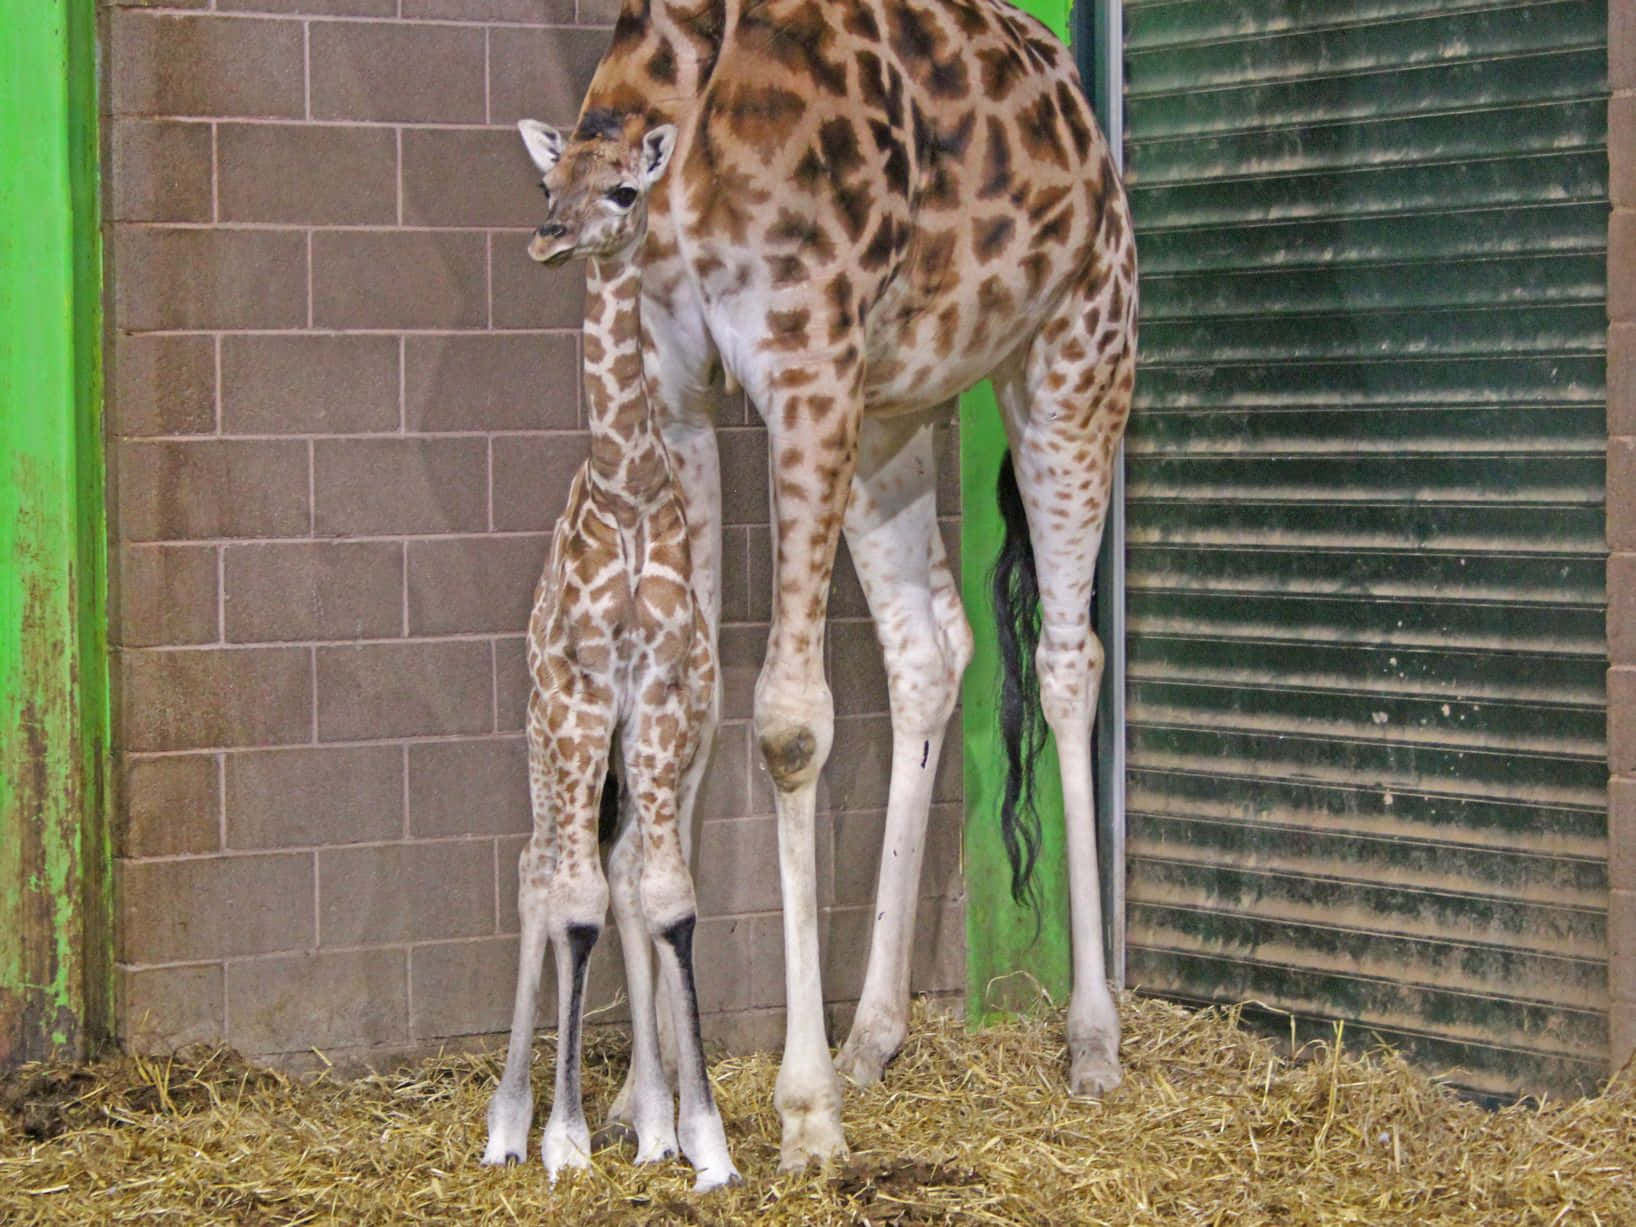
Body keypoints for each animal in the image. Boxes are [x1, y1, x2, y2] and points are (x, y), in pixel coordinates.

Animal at [538, 0, 1139, 1171]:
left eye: (622, 191)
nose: (548, 239)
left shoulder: (804, 359)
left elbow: (789, 724)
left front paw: (805, 1111)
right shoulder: (675, 385)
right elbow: (691, 711)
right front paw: (651, 1102)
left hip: (1077, 356)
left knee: (1066, 657)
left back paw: (1092, 1042)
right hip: (892, 411)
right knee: (931, 649)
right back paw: (875, 1034)